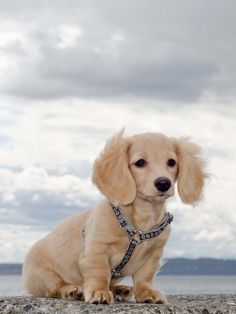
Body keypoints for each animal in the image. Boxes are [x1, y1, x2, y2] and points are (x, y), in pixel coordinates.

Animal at [22, 131, 206, 304]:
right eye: (140, 162)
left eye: (172, 162)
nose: (163, 183)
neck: (140, 222)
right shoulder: (96, 250)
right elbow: (100, 273)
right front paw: (99, 291)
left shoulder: (153, 255)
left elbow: (144, 277)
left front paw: (146, 293)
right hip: (44, 277)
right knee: (55, 288)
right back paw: (71, 290)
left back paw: (120, 289)